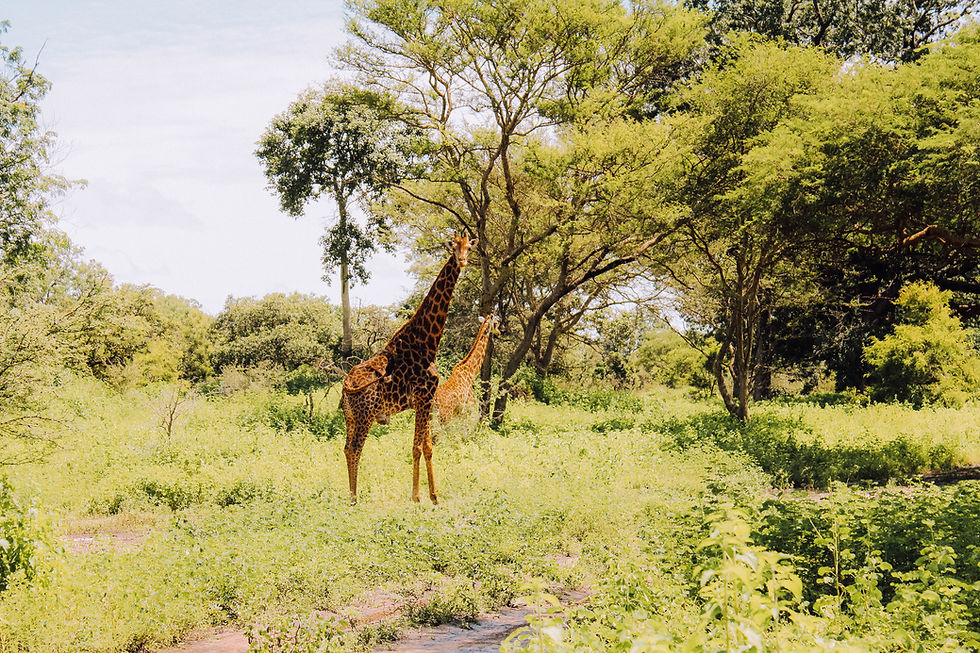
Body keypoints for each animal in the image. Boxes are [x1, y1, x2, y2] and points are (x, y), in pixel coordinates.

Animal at [340, 234, 476, 505]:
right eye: (453, 247)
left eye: (468, 247)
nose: (462, 261)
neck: (428, 340)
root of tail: (346, 385)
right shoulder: (424, 396)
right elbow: (417, 447)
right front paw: (416, 497)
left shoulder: (425, 401)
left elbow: (428, 447)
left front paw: (434, 496)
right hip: (365, 416)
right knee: (355, 449)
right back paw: (354, 499)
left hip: (350, 417)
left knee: (347, 448)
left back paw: (352, 496)